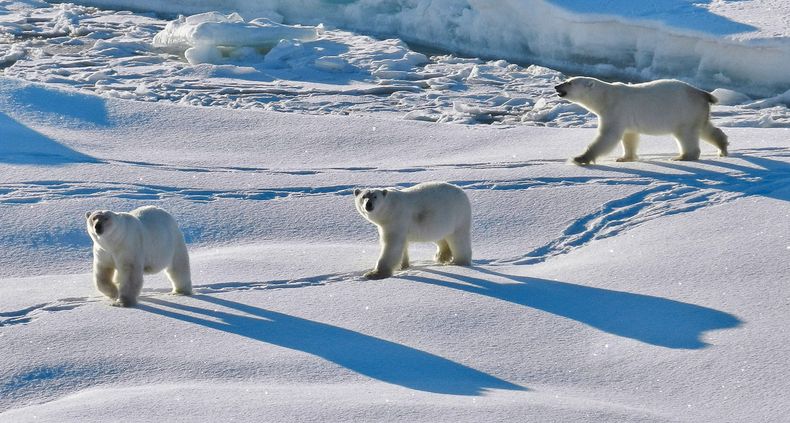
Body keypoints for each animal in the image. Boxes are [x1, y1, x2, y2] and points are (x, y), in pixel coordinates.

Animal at [554, 77, 728, 164]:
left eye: (569, 82)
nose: (556, 86)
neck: (605, 97)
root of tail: (702, 93)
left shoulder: (615, 111)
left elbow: (607, 137)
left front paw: (579, 158)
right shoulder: (626, 118)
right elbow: (629, 137)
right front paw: (625, 158)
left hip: (684, 112)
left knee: (686, 134)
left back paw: (682, 156)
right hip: (697, 113)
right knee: (706, 129)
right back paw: (722, 147)